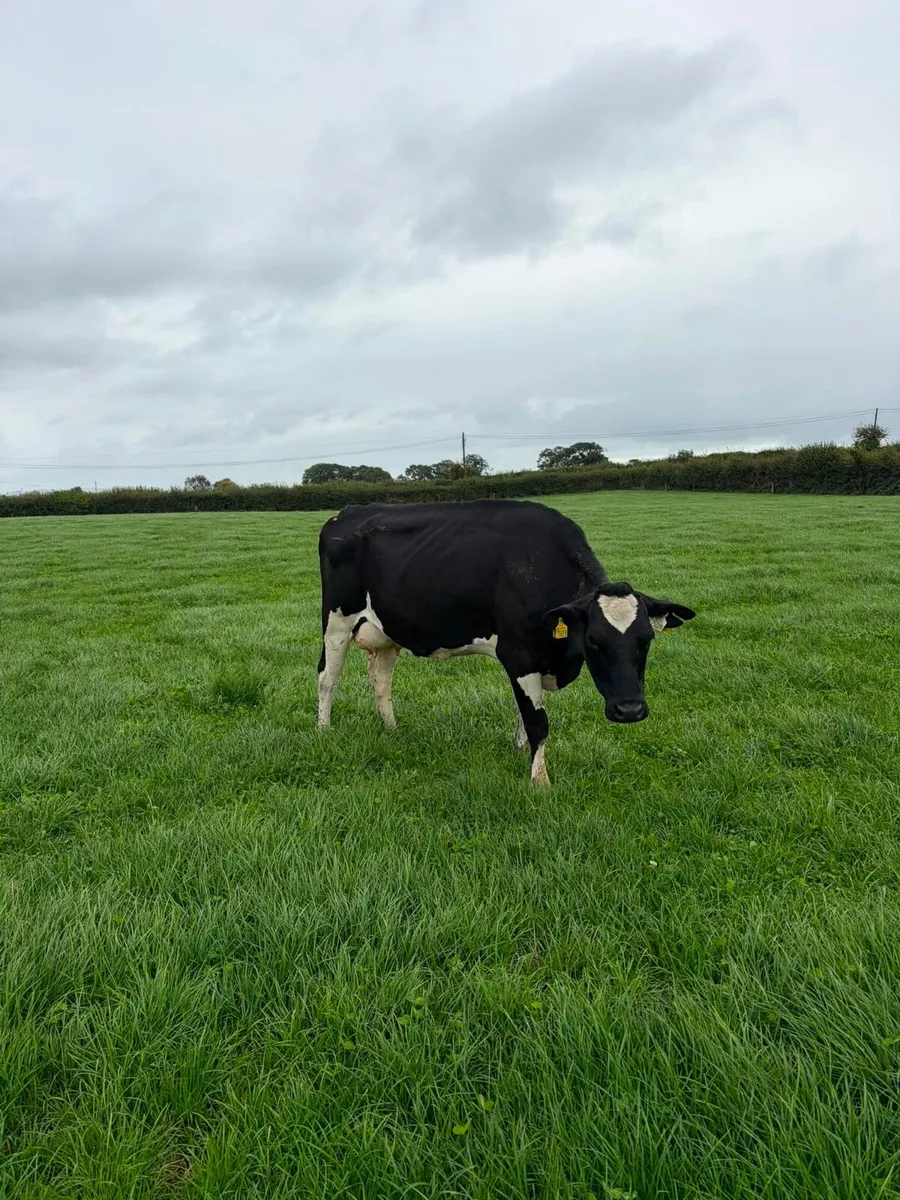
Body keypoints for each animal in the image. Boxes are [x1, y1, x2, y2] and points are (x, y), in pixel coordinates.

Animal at [316, 499, 695, 785]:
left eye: (646, 640)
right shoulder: (519, 654)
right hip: (336, 621)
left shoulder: (535, 658)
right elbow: (538, 721)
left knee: (380, 678)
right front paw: (540, 780)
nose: (630, 710)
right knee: (327, 677)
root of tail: (347, 512)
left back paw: (392, 729)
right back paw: (324, 730)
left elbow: (524, 712)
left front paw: (520, 751)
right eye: (594, 641)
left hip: (387, 630)